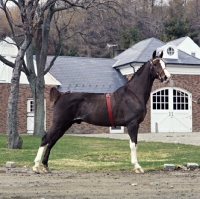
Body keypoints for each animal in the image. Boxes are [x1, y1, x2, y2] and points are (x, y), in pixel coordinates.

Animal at [32, 50, 170, 173]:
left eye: (165, 63)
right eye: (156, 64)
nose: (167, 77)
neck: (133, 94)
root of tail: (61, 95)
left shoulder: (135, 125)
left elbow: (135, 144)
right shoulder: (132, 124)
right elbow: (133, 144)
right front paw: (137, 167)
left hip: (64, 125)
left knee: (51, 142)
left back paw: (46, 166)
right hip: (58, 123)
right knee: (45, 139)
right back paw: (36, 166)